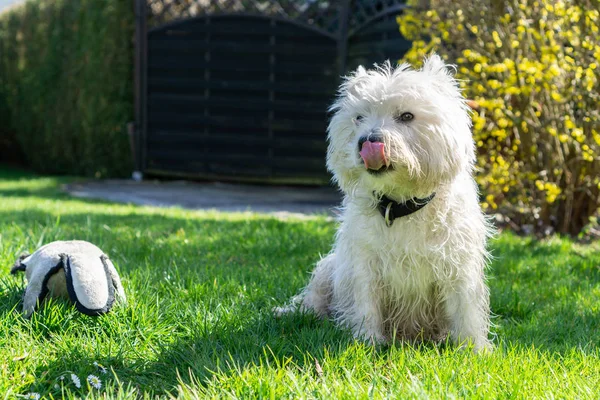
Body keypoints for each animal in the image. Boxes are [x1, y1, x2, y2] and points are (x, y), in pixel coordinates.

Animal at [276, 54, 492, 352]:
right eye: (358, 117)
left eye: (407, 116)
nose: (367, 142)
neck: (401, 204)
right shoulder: (365, 262)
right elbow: (367, 302)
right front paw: (367, 341)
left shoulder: (457, 264)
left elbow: (465, 307)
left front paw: (474, 349)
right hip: (330, 267)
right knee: (312, 300)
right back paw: (292, 314)